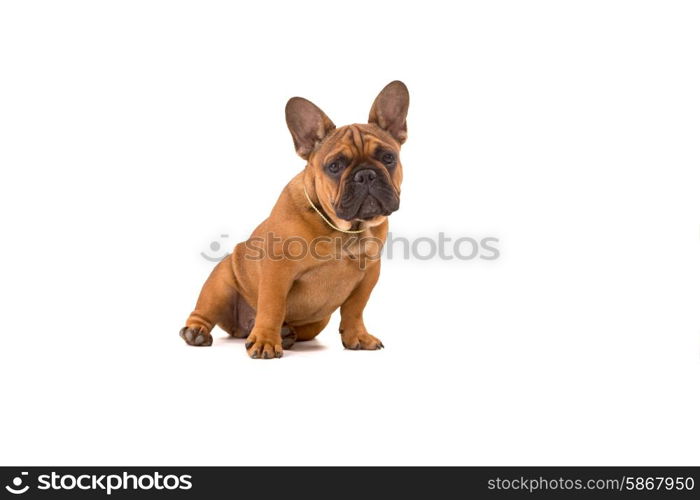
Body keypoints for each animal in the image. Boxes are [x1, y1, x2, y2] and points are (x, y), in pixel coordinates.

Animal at [180, 81, 408, 360]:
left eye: (388, 158)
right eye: (334, 166)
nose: (365, 175)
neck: (343, 229)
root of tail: (242, 328)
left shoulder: (368, 276)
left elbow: (355, 310)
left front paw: (357, 337)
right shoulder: (277, 271)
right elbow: (272, 306)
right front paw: (265, 341)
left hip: (317, 321)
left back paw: (287, 334)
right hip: (219, 284)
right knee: (205, 312)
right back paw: (198, 332)